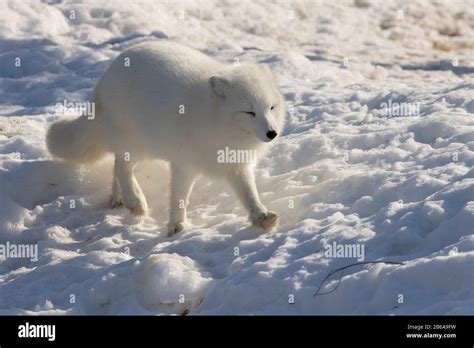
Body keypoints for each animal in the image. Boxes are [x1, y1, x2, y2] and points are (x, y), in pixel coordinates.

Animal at [48, 41, 286, 237]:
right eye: (249, 112)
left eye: (271, 108)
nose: (272, 133)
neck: (213, 119)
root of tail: (104, 78)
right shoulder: (184, 164)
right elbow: (179, 197)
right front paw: (177, 226)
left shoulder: (236, 164)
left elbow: (249, 194)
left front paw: (261, 216)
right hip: (136, 144)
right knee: (122, 168)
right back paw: (135, 201)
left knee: (117, 166)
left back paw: (119, 200)